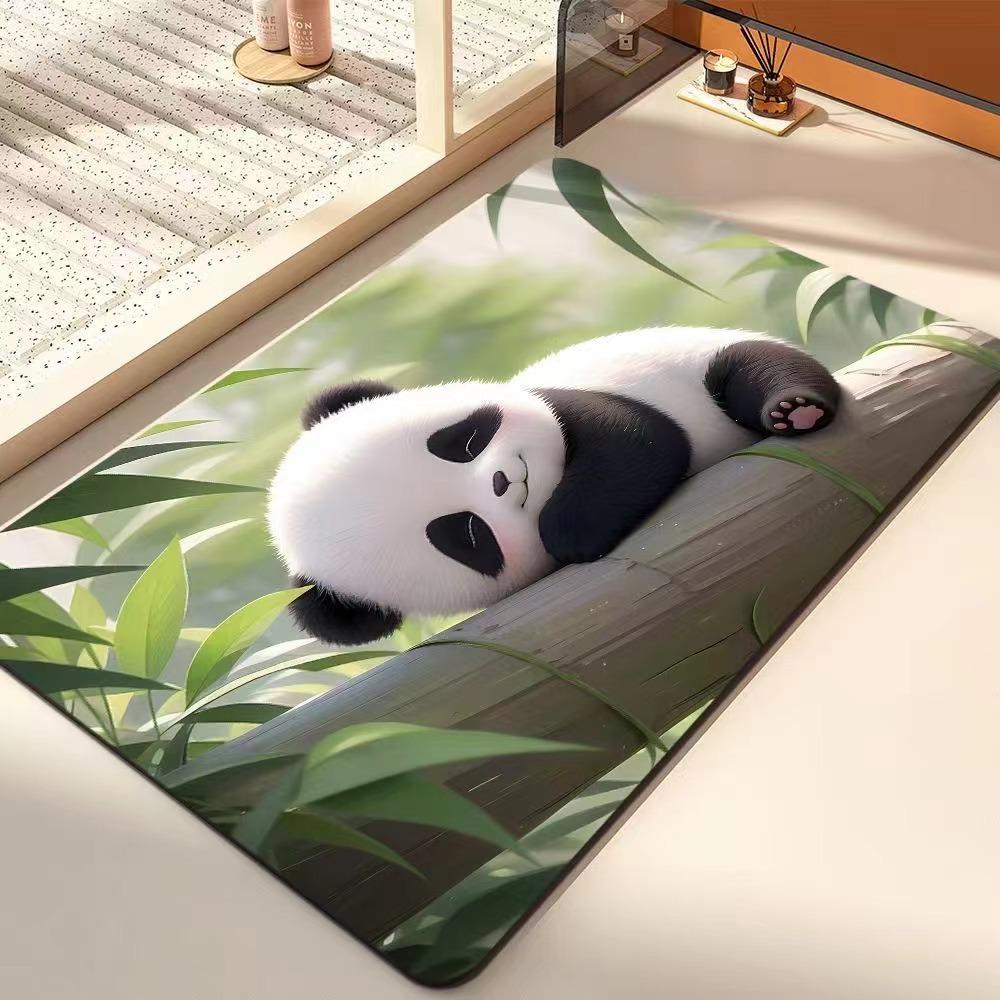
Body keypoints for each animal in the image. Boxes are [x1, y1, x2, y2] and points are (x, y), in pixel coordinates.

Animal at [267, 327, 840, 645]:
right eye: (466, 534)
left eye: (463, 441)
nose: (505, 478)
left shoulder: (560, 402)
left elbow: (640, 438)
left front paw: (567, 525)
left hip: (700, 357)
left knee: (752, 367)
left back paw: (793, 408)